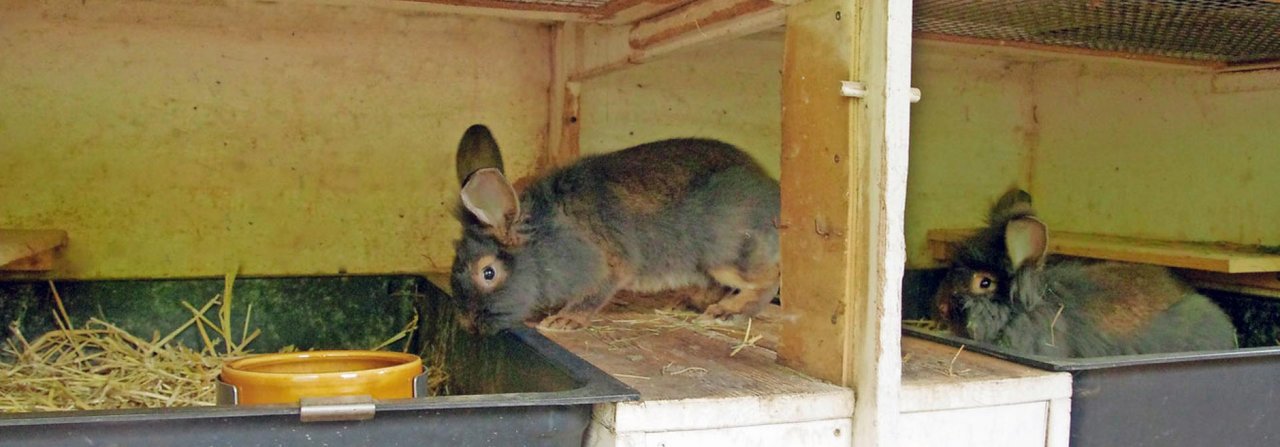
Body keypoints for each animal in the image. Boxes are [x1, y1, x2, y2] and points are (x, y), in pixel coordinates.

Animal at [448, 123, 778, 333]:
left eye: (488, 273)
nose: (467, 324)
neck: (545, 237)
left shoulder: (610, 266)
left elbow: (593, 295)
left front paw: (563, 321)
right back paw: (687, 304)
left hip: (726, 255)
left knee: (766, 282)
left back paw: (726, 312)